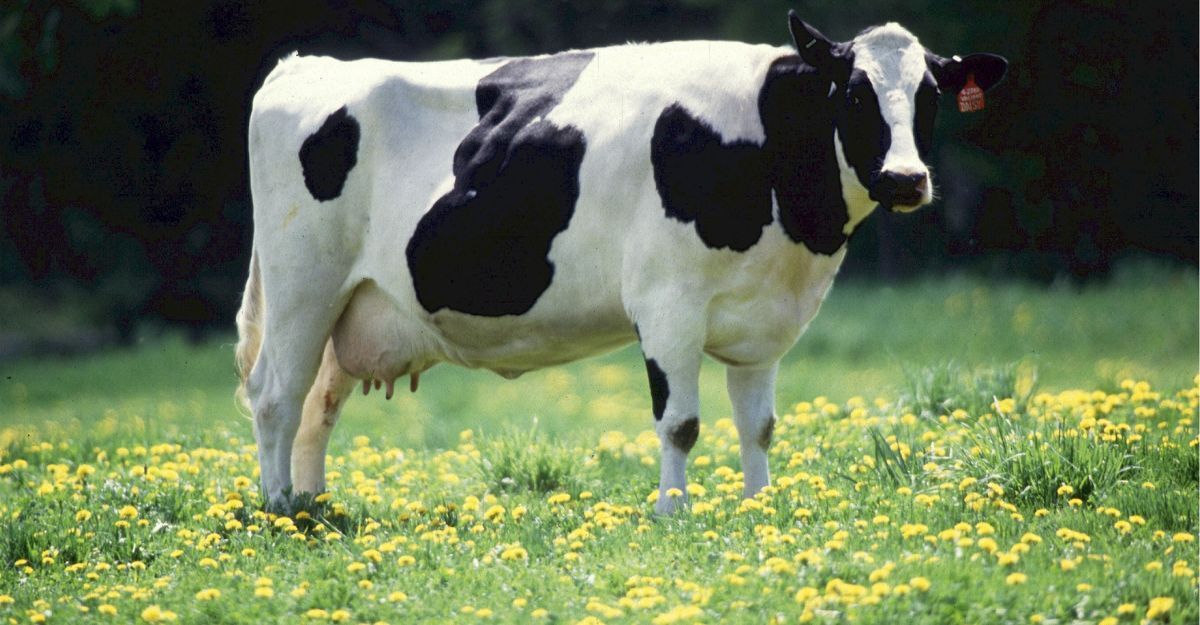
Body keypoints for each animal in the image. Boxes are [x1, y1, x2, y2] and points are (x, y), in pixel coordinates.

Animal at [235, 12, 1007, 514]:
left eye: (930, 96)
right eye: (854, 92)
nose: (906, 179)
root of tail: (303, 66)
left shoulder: (764, 320)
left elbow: (758, 425)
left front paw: (760, 507)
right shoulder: (668, 303)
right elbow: (681, 422)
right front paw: (673, 512)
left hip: (352, 304)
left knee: (317, 404)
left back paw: (315, 504)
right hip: (303, 284)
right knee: (276, 395)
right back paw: (280, 509)